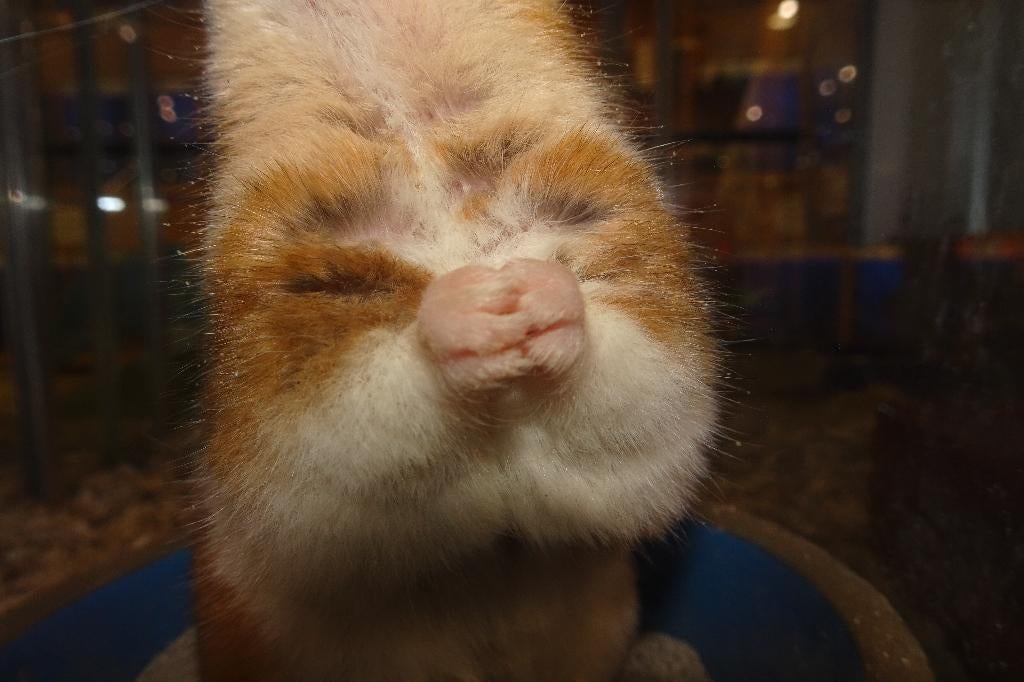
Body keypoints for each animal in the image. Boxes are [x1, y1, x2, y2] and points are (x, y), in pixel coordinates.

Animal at [193, 1, 718, 680]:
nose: (499, 298)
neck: (412, 128)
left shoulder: (644, 281)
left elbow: (644, 376)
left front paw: (526, 293)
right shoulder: (279, 376)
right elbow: (355, 397)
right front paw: (473, 303)